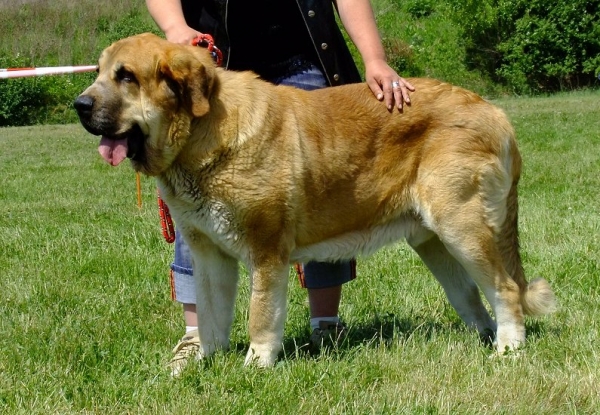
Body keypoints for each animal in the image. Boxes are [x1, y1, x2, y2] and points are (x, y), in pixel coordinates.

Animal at [75, 34, 556, 368]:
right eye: (98, 72)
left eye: (126, 76)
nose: (79, 104)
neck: (201, 133)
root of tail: (493, 112)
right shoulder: (209, 253)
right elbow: (211, 315)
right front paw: (205, 363)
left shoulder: (266, 251)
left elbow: (260, 314)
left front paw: (255, 365)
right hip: (435, 242)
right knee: (473, 297)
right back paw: (484, 339)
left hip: (462, 228)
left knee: (505, 289)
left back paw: (508, 349)